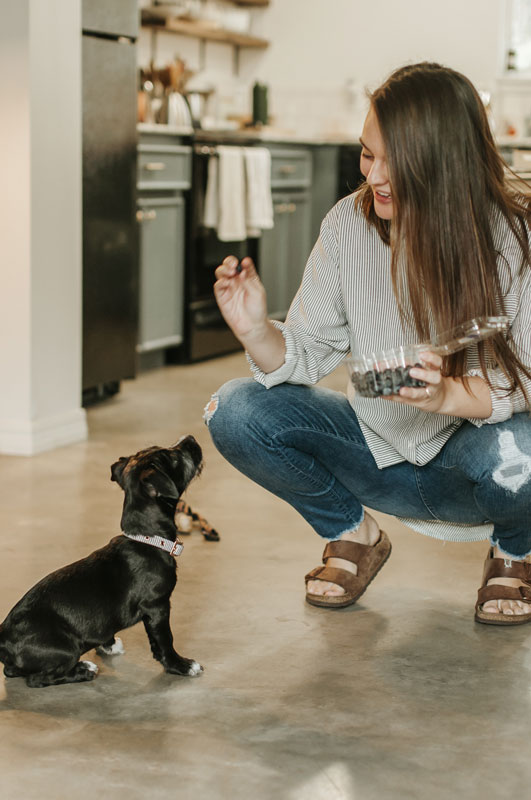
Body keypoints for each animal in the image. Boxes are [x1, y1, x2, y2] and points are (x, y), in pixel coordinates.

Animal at [0, 434, 204, 692]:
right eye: (174, 457)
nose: (190, 437)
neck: (147, 539)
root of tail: (3, 640)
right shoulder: (157, 606)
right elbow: (164, 640)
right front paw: (181, 665)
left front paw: (107, 644)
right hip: (66, 648)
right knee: (38, 679)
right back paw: (84, 670)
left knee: (12, 671)